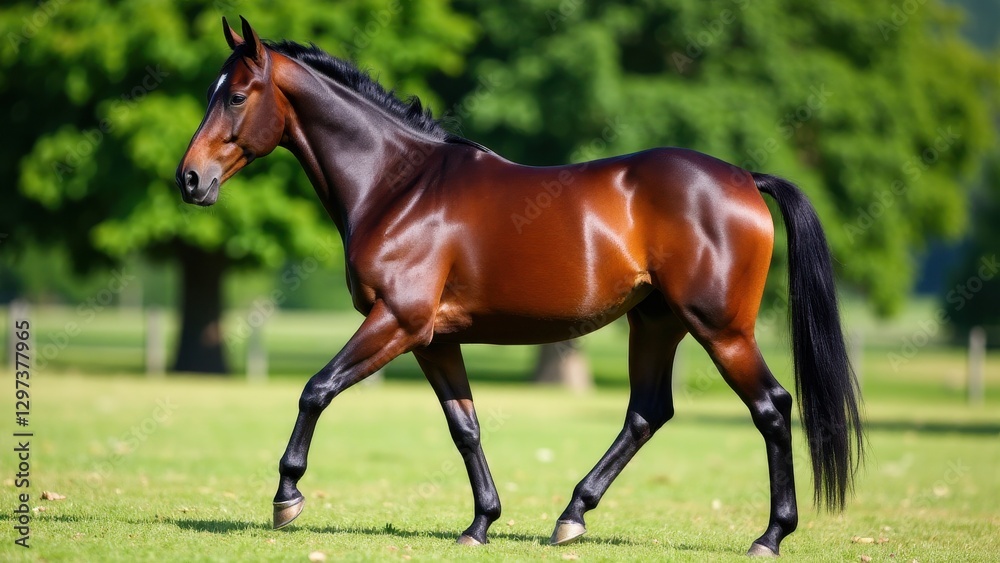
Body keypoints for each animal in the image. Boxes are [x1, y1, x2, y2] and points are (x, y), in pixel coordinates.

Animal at [176, 17, 863, 556]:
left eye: (237, 95)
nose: (189, 179)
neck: (400, 186)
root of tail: (744, 178)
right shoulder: (433, 338)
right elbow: (466, 427)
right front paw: (481, 523)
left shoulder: (395, 320)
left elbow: (315, 390)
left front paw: (286, 496)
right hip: (657, 322)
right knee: (647, 413)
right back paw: (571, 517)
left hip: (721, 329)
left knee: (771, 407)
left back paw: (769, 535)